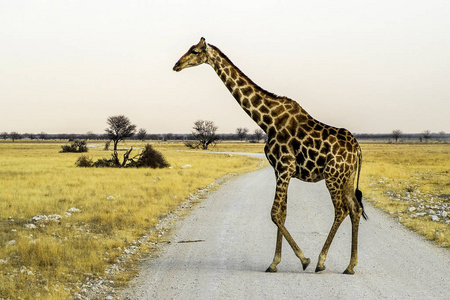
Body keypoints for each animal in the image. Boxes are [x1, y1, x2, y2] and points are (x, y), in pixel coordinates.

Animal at [172, 37, 366, 274]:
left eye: (195, 51)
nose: (177, 65)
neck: (267, 121)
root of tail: (357, 148)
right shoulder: (278, 169)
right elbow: (282, 213)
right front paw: (275, 262)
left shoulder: (285, 166)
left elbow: (274, 213)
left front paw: (303, 259)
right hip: (346, 178)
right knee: (355, 209)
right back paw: (350, 265)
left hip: (332, 176)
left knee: (341, 210)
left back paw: (321, 261)